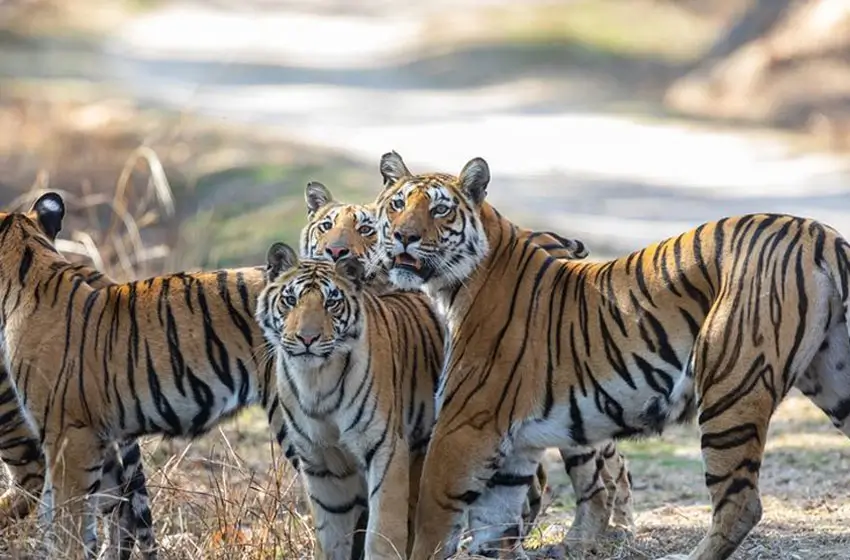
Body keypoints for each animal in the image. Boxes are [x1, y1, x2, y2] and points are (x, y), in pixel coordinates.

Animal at [373, 151, 850, 560]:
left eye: (440, 210)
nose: (403, 237)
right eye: (396, 204)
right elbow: (494, 529)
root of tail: (821, 234)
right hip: (835, 380)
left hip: (731, 386)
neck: (454, 287)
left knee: (740, 503)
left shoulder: (464, 427)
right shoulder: (512, 452)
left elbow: (430, 525)